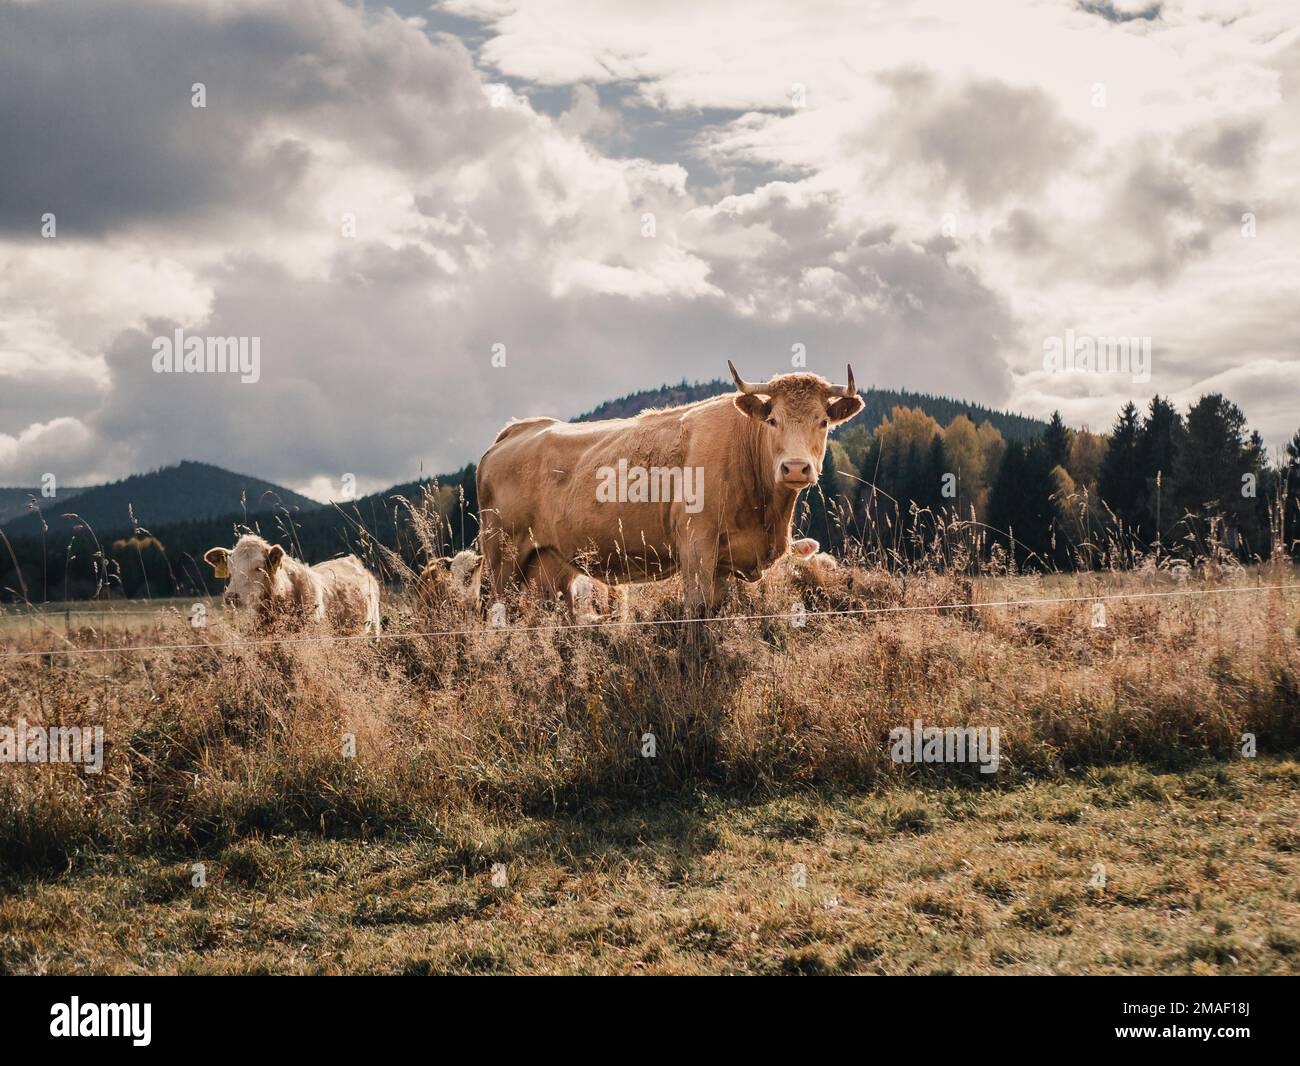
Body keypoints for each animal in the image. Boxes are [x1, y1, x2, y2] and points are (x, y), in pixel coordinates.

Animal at [477, 362, 864, 615]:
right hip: (501, 556)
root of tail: (518, 429)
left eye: (823, 421)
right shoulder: (696, 545)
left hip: (546, 565)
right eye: (772, 420)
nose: (796, 467)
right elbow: (697, 610)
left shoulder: (723, 562)